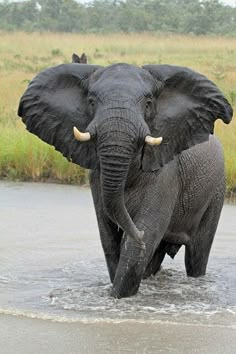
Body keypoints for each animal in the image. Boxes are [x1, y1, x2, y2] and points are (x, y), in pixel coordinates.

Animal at [17, 61, 233, 298]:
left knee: (197, 254)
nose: (138, 233)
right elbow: (110, 241)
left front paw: (117, 297)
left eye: (148, 104)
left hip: (216, 191)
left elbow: (142, 239)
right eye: (91, 102)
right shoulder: (97, 178)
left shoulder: (166, 175)